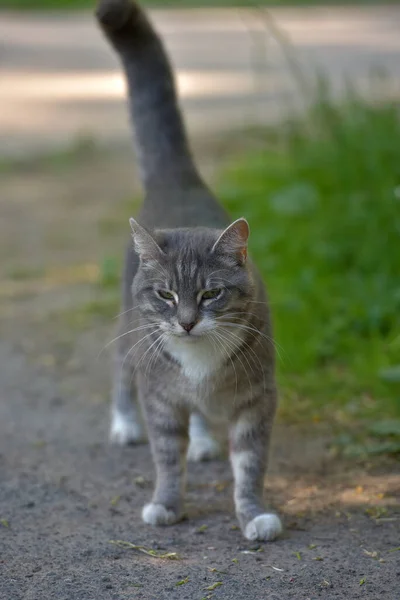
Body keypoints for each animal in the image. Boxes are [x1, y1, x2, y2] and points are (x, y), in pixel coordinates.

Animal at [96, 0, 282, 544]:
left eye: (210, 294)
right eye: (165, 295)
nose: (185, 322)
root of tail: (179, 179)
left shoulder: (258, 401)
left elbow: (250, 464)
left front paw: (253, 514)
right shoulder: (160, 398)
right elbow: (165, 458)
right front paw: (166, 504)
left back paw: (201, 440)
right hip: (126, 331)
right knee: (120, 372)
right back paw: (125, 425)